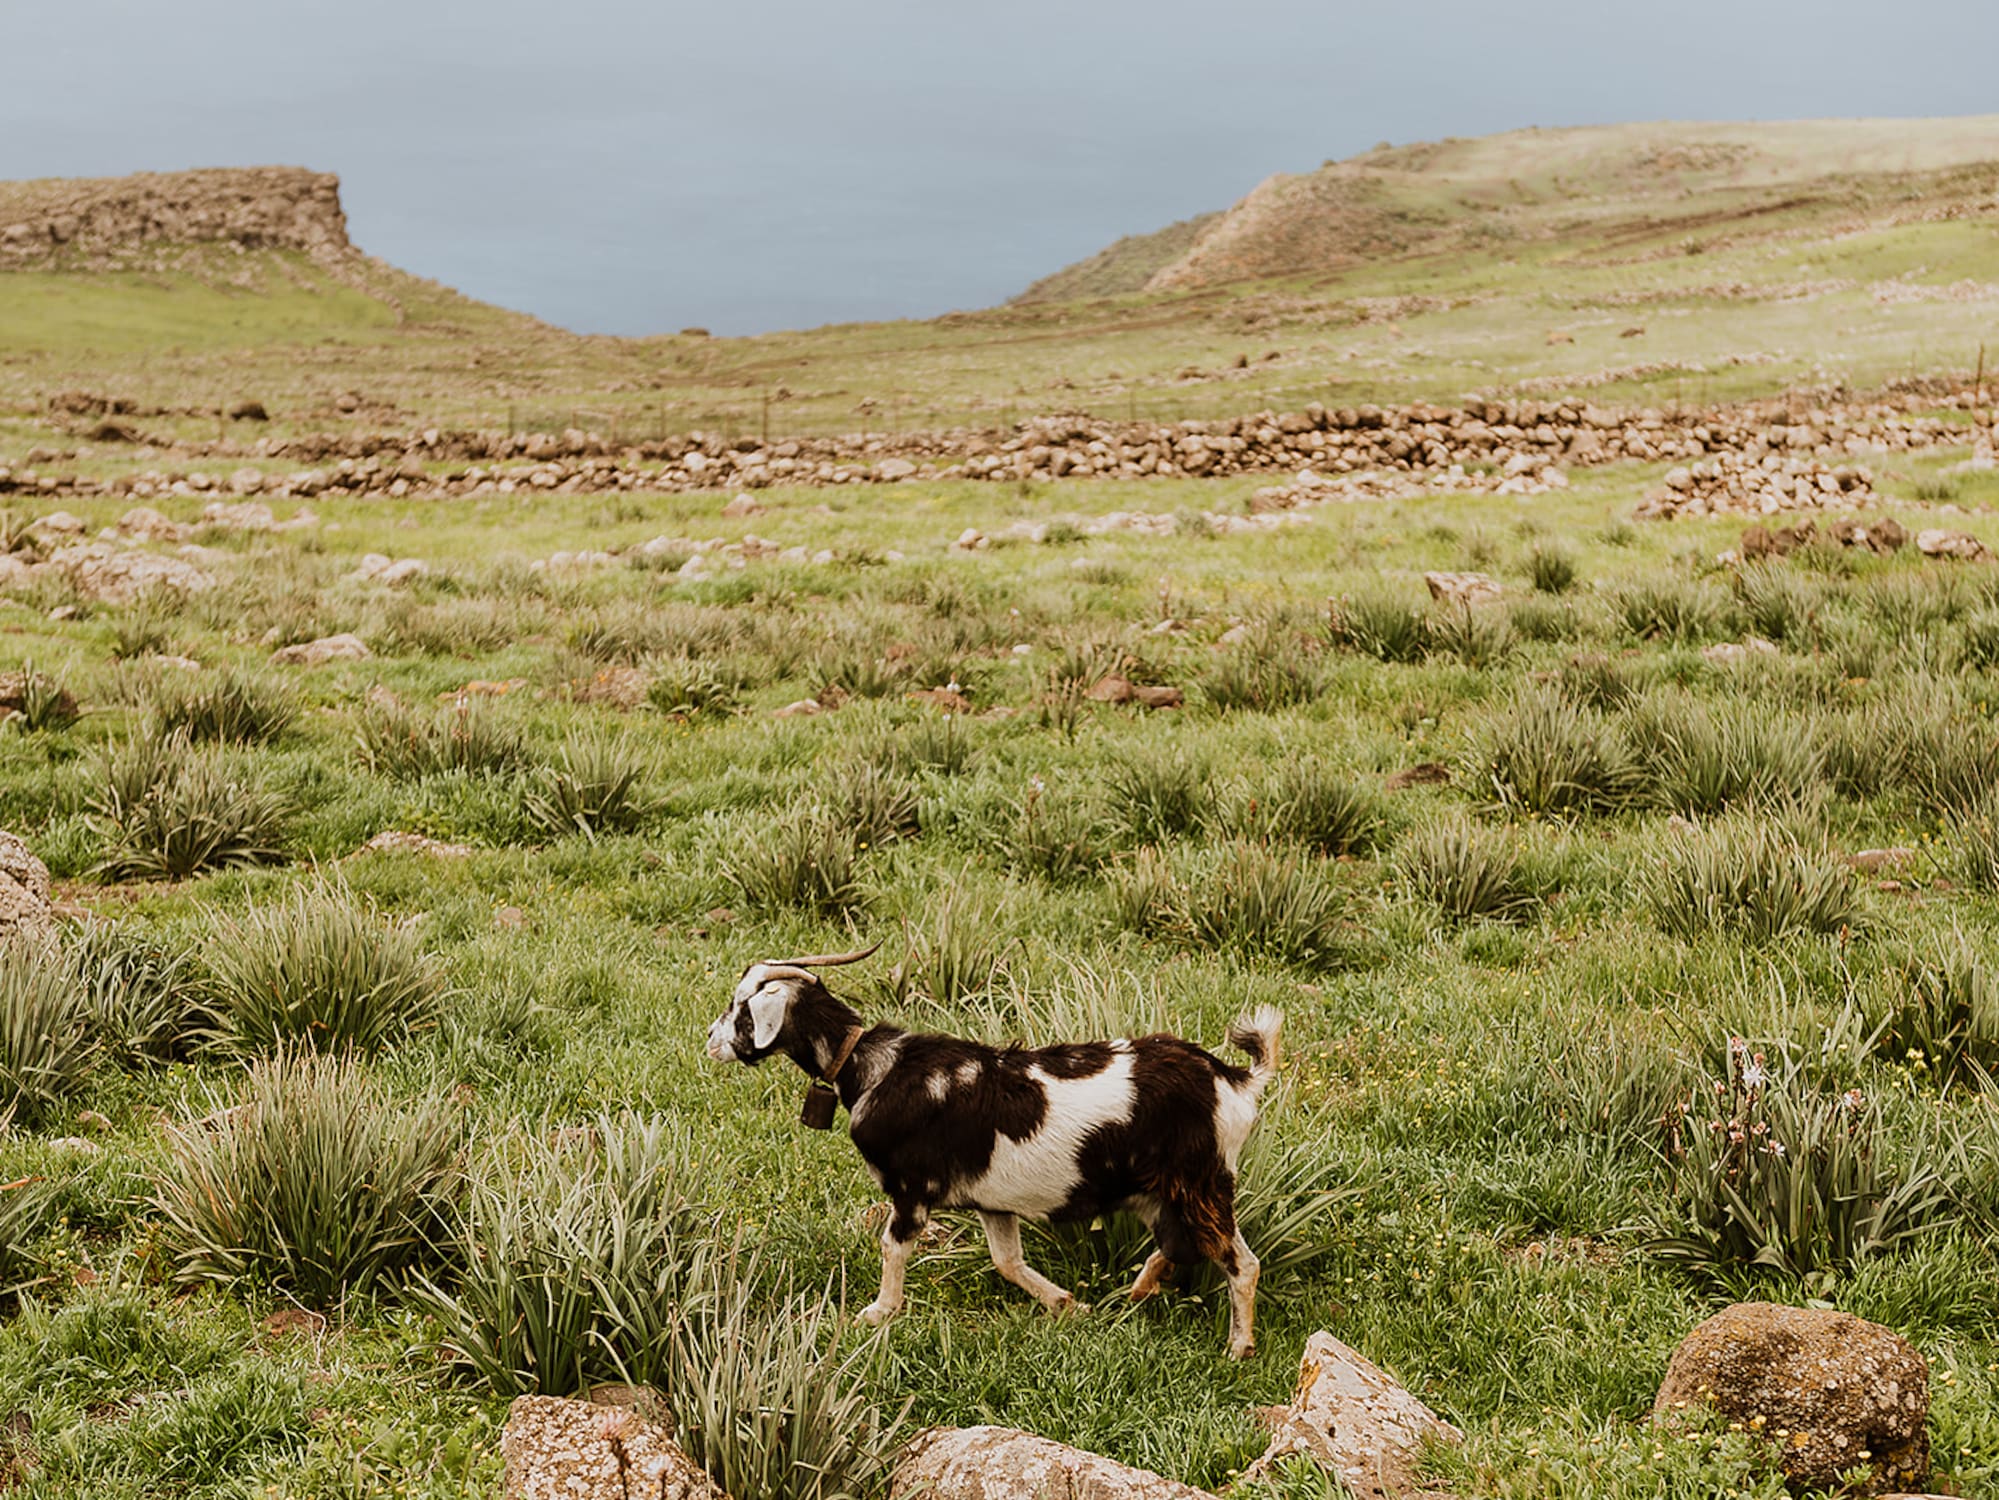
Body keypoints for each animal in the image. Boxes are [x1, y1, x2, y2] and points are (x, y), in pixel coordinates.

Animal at [705, 944, 1282, 1358]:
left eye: (741, 1009)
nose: (710, 1040)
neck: (871, 1069)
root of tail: (1236, 1080)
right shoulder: (993, 1202)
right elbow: (1007, 1262)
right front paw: (1068, 1305)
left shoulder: (910, 1190)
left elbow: (893, 1247)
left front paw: (877, 1313)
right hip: (1158, 1190)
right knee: (1179, 1244)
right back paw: (1136, 1293)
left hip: (1201, 1181)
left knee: (1240, 1262)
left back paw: (1239, 1348)